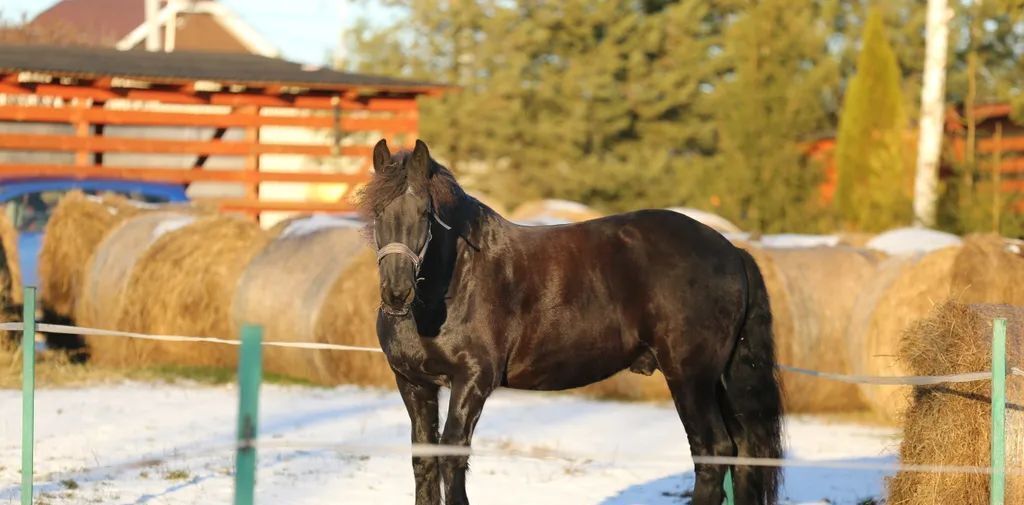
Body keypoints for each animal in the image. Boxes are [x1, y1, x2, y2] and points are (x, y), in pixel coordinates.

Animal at [364, 138, 786, 503]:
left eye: (425, 213)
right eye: (377, 212)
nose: (397, 293)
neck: (458, 279)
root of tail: (733, 251)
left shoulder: (472, 381)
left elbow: (452, 459)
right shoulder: (414, 384)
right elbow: (424, 462)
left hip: (690, 377)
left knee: (712, 452)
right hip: (719, 380)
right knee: (740, 455)